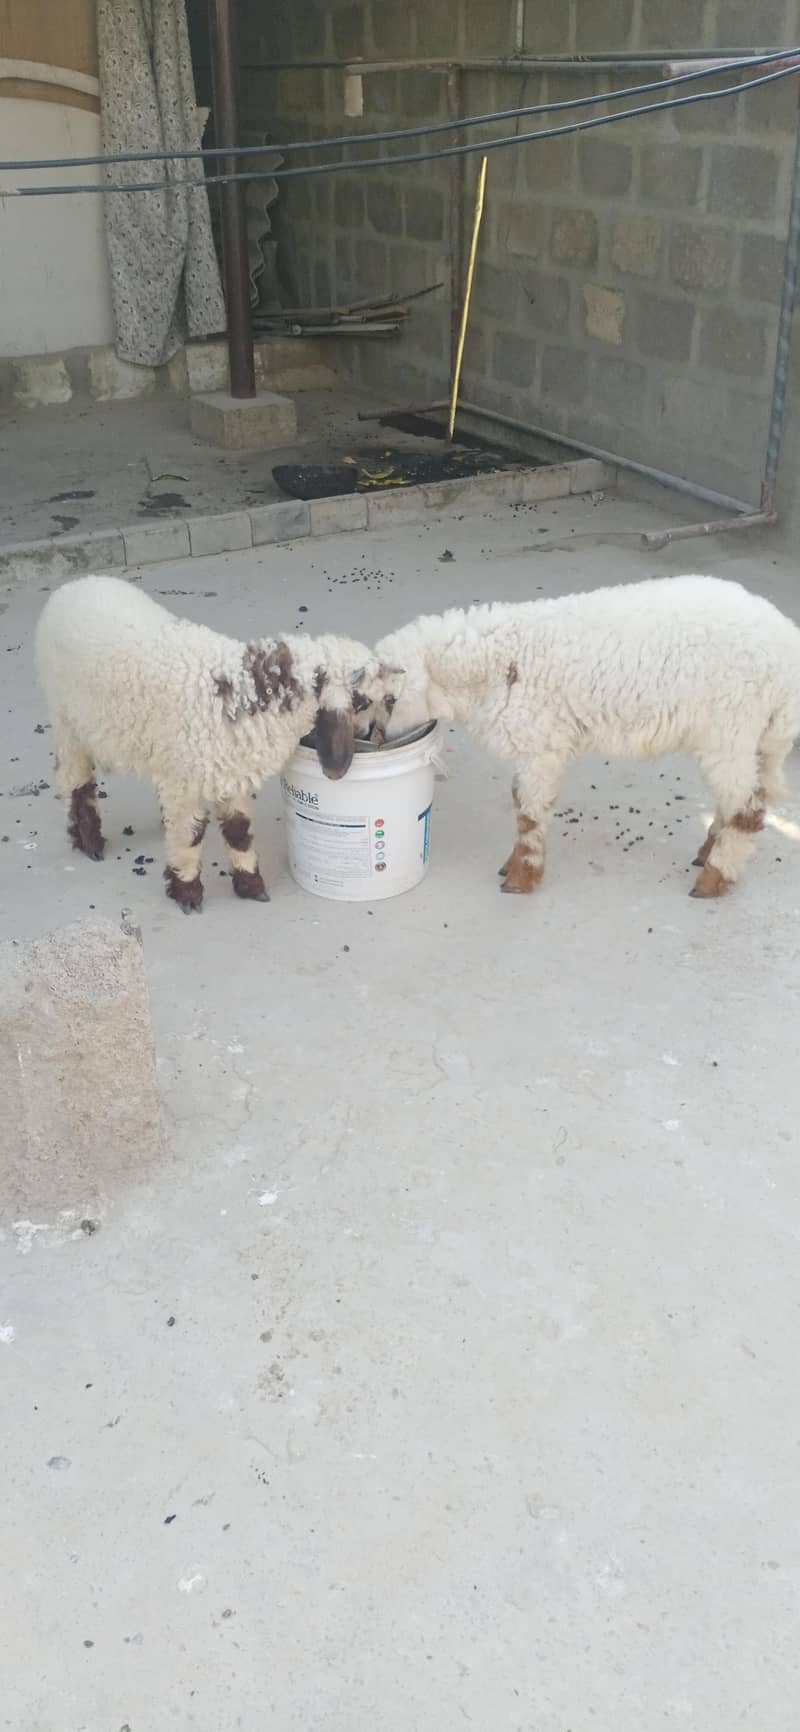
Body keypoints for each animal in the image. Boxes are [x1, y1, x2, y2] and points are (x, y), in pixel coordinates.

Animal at [36, 575, 403, 912]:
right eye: (361, 701)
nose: (371, 737)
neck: (240, 696)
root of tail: (75, 584)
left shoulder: (231, 773)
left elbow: (238, 830)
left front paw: (251, 885)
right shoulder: (187, 783)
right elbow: (191, 835)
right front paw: (187, 893)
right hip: (65, 718)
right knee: (77, 780)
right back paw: (90, 842)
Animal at [374, 575, 800, 899]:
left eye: (388, 701)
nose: (374, 741)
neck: (496, 667)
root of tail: (786, 646)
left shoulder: (540, 746)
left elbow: (529, 813)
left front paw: (521, 878)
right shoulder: (533, 749)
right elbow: (522, 804)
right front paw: (512, 867)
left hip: (731, 725)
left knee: (749, 807)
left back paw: (713, 878)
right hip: (740, 735)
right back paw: (709, 850)